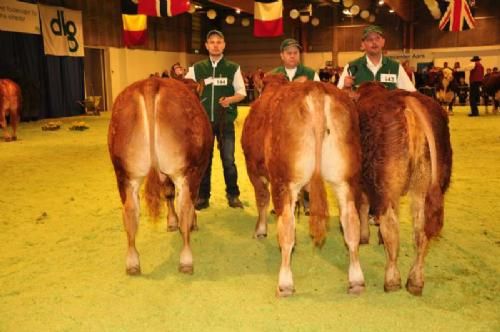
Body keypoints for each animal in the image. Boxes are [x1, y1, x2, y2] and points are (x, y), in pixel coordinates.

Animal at [108, 77, 212, 274]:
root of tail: (151, 83)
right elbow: (183, 200)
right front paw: (189, 223)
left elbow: (167, 194)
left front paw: (170, 222)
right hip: (186, 171)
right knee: (185, 207)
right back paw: (186, 260)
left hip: (124, 173)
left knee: (130, 212)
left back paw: (132, 263)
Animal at [242, 74, 364, 296]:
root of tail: (315, 89)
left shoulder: (254, 170)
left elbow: (262, 200)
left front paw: (260, 230)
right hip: (346, 179)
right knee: (351, 223)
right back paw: (356, 280)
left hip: (285, 180)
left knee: (286, 226)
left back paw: (285, 283)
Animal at [356, 82, 454, 296]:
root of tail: (409, 102)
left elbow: (363, 207)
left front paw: (364, 236)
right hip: (424, 186)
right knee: (421, 231)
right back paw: (415, 281)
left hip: (387, 185)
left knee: (391, 227)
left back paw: (392, 280)